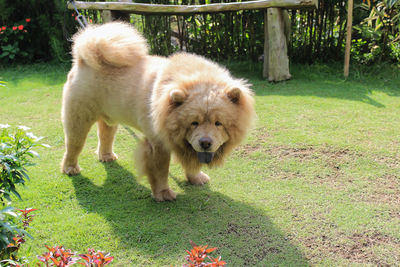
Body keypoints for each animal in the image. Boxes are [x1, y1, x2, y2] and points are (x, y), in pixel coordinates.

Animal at [61, 22, 256, 201]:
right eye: (194, 123)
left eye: (218, 123)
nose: (205, 142)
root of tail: (83, 58)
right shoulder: (158, 144)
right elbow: (161, 171)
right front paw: (163, 194)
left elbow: (191, 161)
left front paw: (196, 178)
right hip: (79, 117)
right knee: (74, 144)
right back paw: (70, 168)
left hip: (110, 116)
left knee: (106, 135)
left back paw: (107, 156)